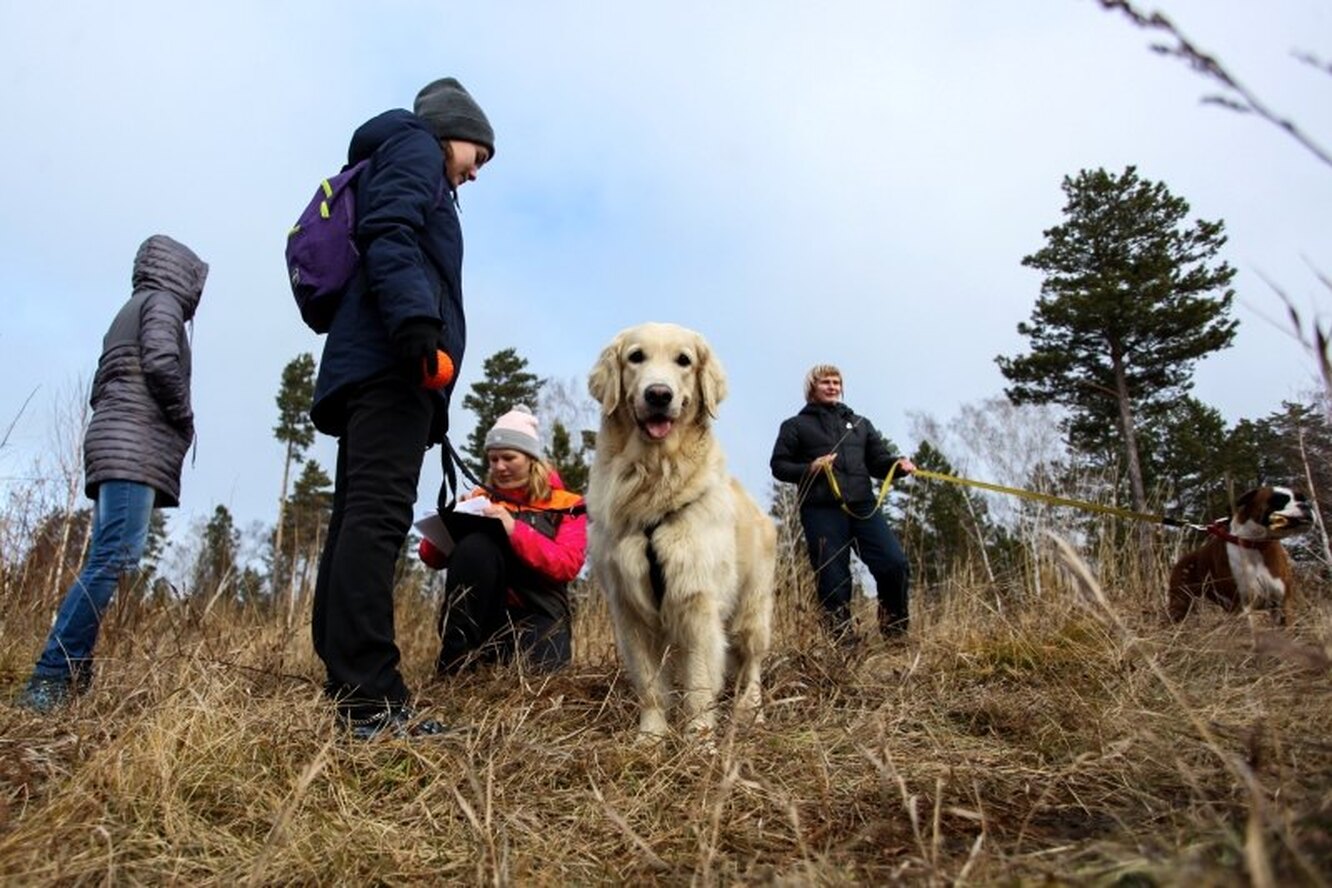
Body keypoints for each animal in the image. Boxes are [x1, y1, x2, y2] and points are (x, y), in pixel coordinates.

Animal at [1172, 487, 1316, 625]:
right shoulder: (1243, 607)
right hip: (1179, 606)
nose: (1305, 505)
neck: (1256, 544)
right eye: (1279, 501)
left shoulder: (1282, 604)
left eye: (1302, 499)